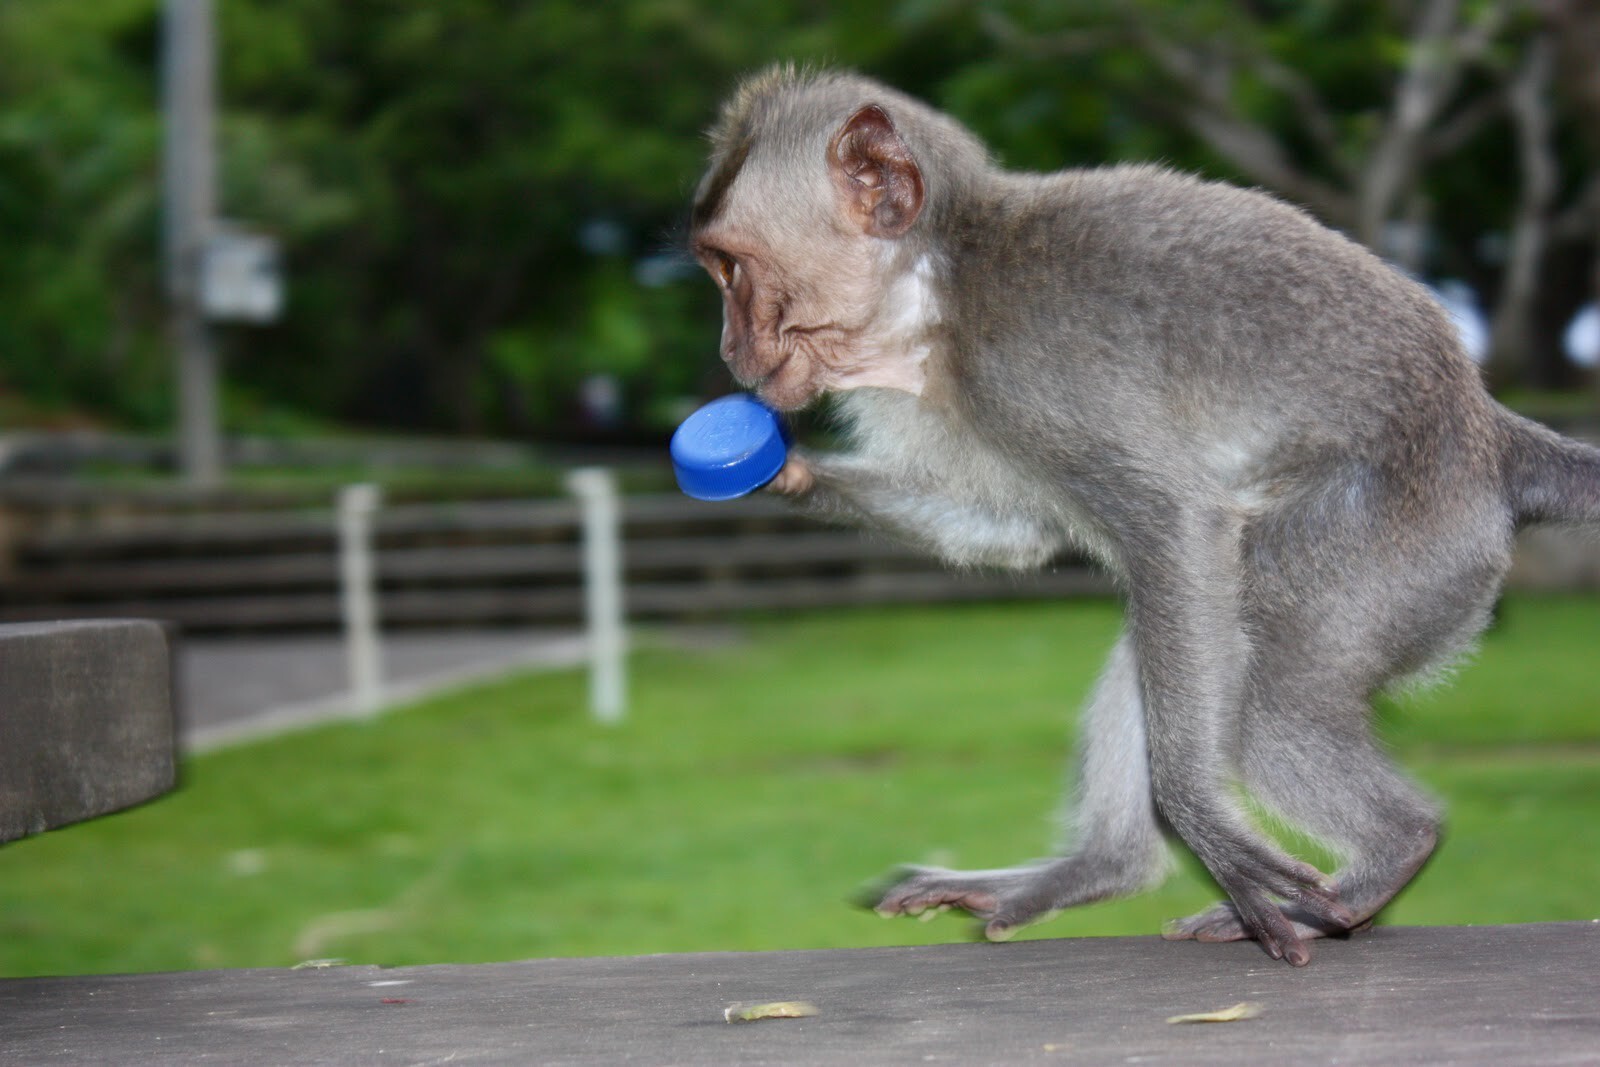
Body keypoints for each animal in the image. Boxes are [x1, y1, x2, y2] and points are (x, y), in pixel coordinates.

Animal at [684, 66, 1600, 966]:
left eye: (731, 270)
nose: (730, 348)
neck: (934, 295)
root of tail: (1489, 436)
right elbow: (1013, 529)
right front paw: (787, 470)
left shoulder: (1027, 369)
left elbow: (1173, 522)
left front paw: (1199, 814)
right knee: (1175, 638)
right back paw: (1097, 867)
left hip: (1399, 541)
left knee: (1261, 680)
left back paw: (1389, 851)